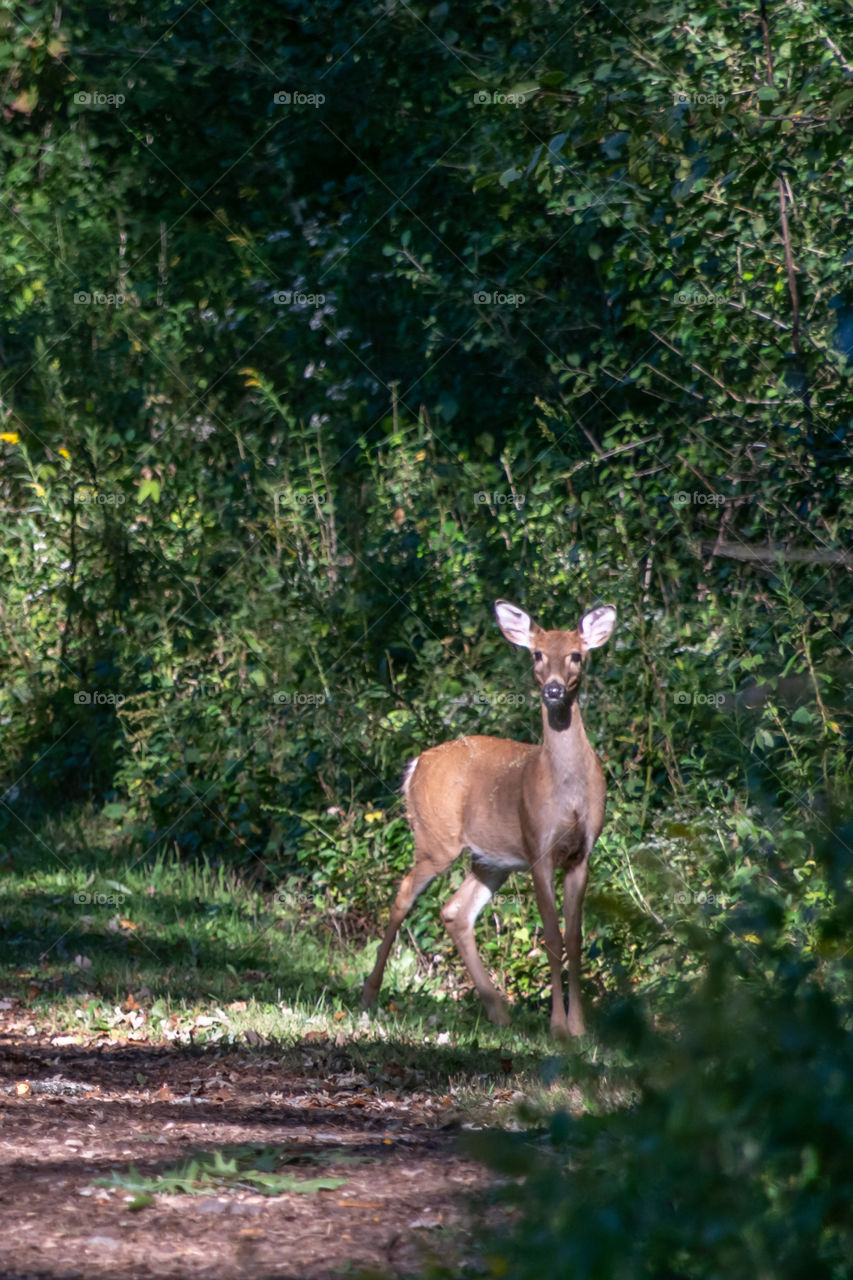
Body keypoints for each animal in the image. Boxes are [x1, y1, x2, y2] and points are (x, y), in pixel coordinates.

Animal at [361, 599, 617, 1038]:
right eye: (536, 654)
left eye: (576, 655)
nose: (552, 690)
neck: (567, 793)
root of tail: (416, 764)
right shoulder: (537, 846)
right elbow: (552, 936)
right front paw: (558, 1027)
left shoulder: (581, 853)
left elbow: (575, 936)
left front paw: (580, 1027)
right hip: (436, 839)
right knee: (403, 895)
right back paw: (369, 995)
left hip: (490, 860)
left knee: (455, 911)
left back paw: (499, 1011)